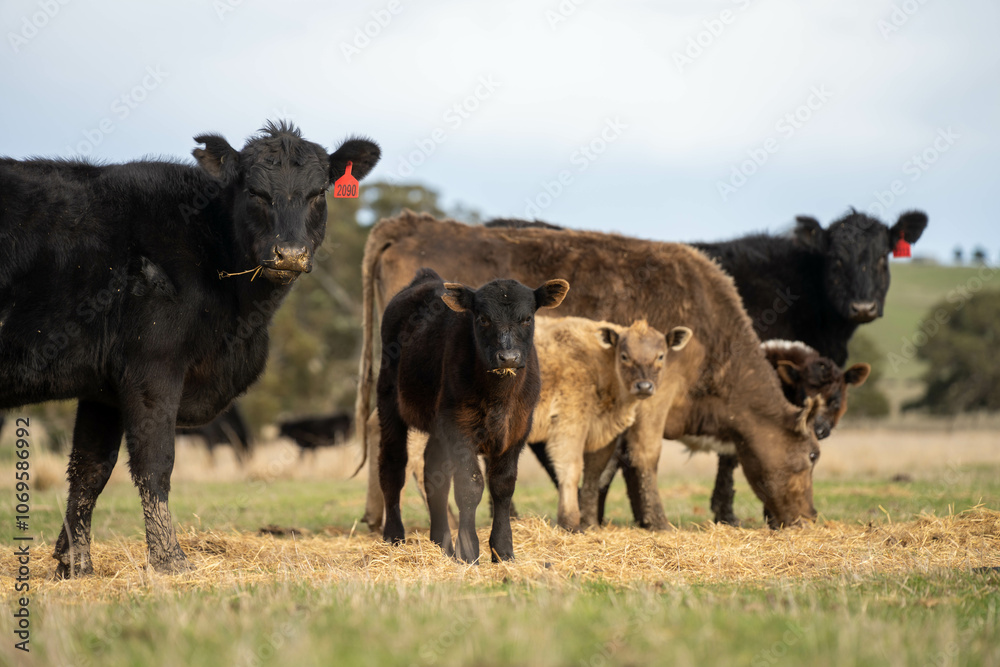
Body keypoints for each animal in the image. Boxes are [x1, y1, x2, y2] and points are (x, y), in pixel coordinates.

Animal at [0, 121, 380, 576]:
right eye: (255, 192)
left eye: (319, 192)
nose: (289, 254)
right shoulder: (153, 366)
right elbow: (155, 462)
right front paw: (169, 559)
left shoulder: (102, 389)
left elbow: (89, 470)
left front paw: (74, 564)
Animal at [356, 212, 824, 531]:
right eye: (812, 455)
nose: (811, 516)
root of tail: (411, 224)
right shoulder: (656, 397)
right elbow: (644, 458)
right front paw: (658, 522)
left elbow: (603, 467)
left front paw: (594, 521)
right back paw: (449, 521)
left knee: (381, 432)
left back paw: (376, 519)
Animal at [369, 268, 568, 562]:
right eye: (483, 319)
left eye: (527, 318)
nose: (508, 357)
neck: (499, 396)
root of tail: (426, 278)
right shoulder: (460, 428)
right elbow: (469, 485)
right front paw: (468, 550)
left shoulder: (518, 429)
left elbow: (502, 486)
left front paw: (503, 550)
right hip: (389, 400)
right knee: (392, 466)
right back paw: (394, 537)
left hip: (438, 425)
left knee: (433, 472)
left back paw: (441, 543)